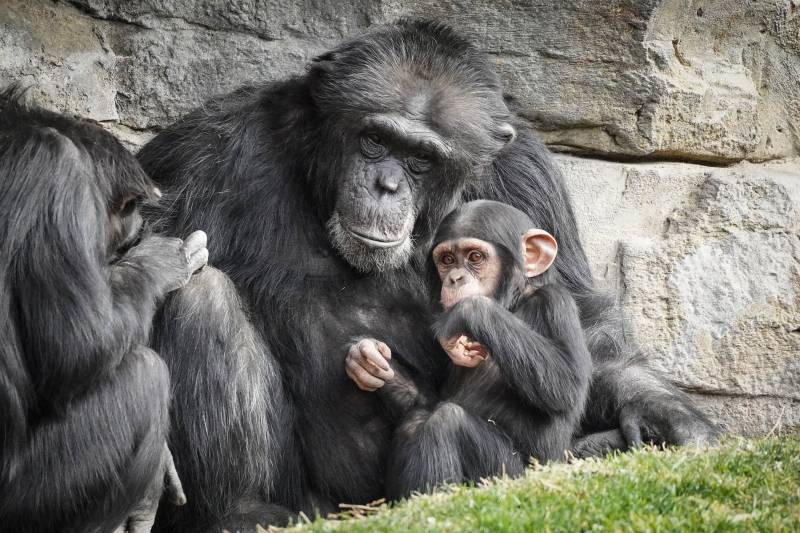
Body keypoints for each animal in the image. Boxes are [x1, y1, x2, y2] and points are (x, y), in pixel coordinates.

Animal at [0, 88, 209, 532]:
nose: (139, 226)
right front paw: (162, 261)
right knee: (144, 377)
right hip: (33, 500)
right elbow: (79, 346)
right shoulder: (58, 173)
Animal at [346, 197, 592, 496]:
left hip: (508, 474)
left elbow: (566, 380)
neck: (514, 303)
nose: (455, 278)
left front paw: (464, 311)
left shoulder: (555, 303)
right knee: (417, 419)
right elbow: (430, 398)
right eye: (447, 260)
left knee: (447, 421)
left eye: (475, 257)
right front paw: (367, 359)